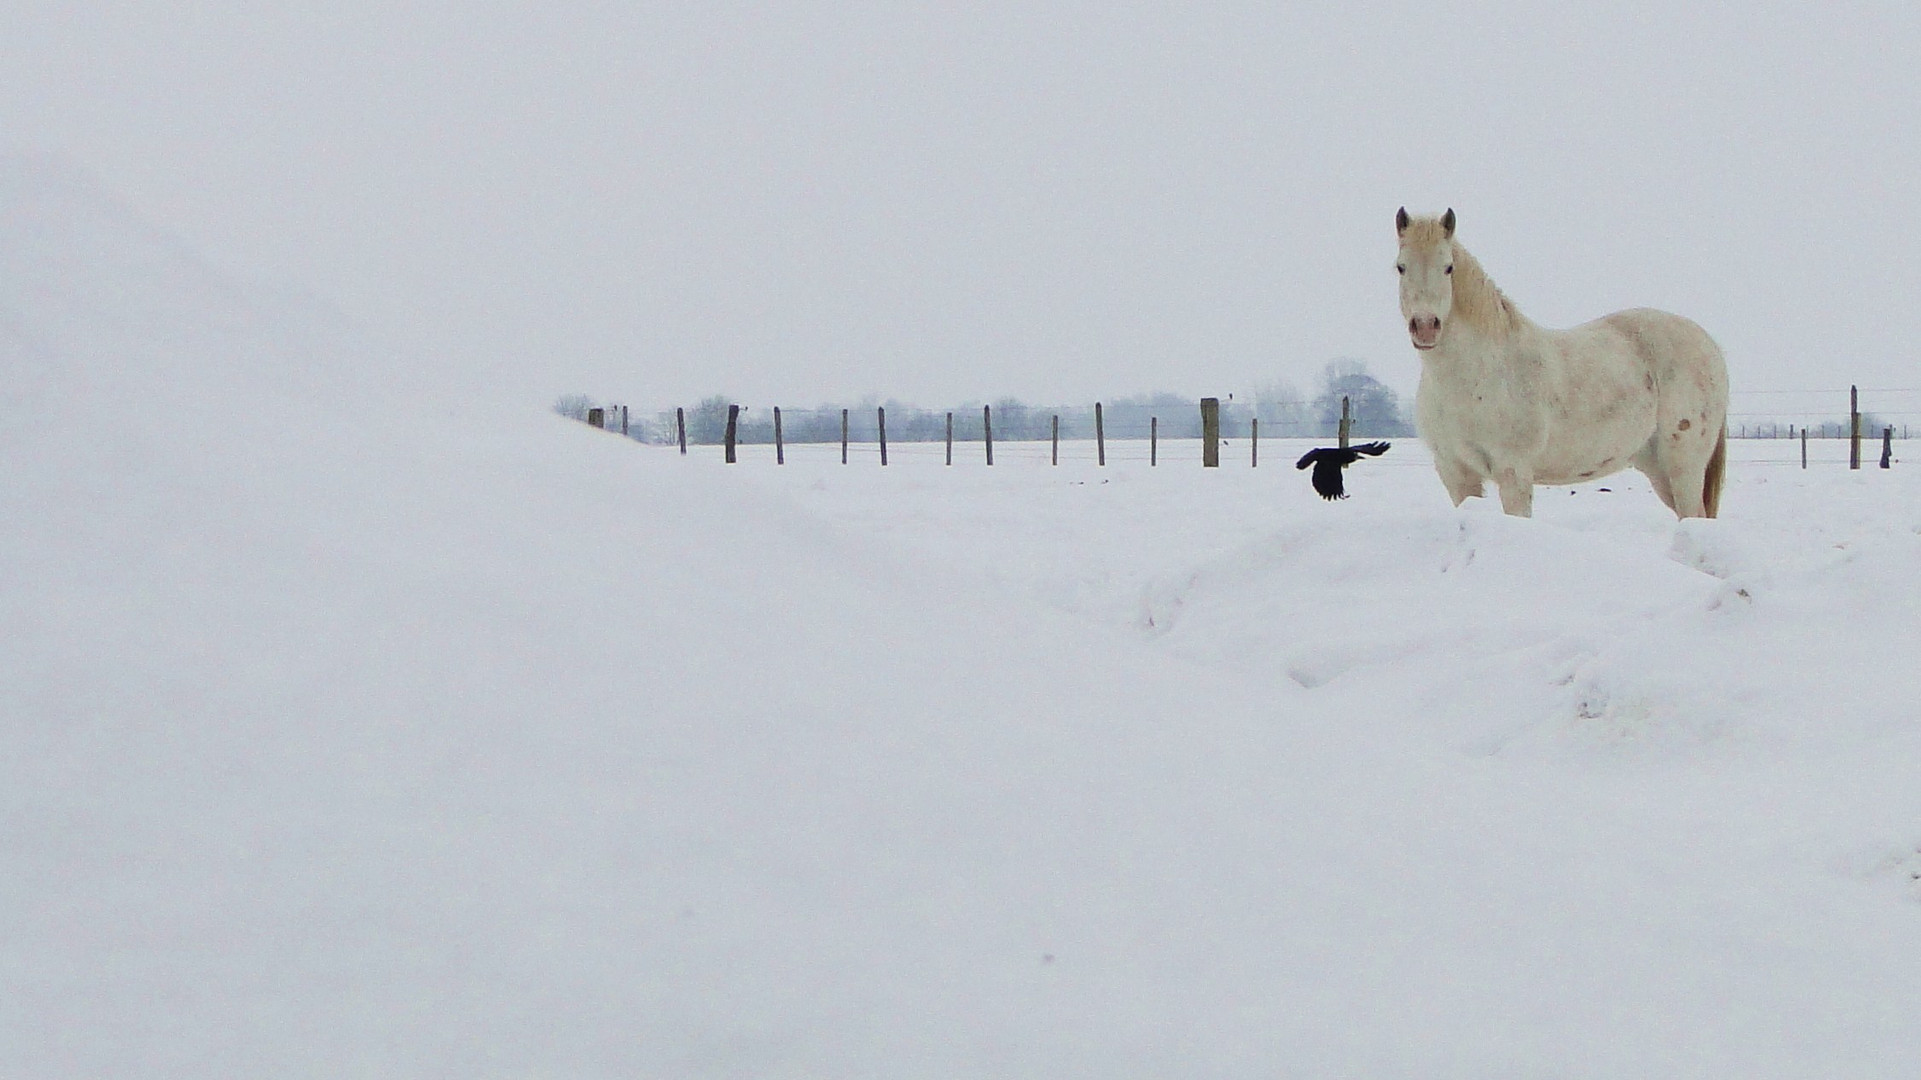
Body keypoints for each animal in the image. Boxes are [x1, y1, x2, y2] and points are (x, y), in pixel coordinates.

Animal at [1398, 209, 1728, 518]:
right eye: (1401, 267)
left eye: (1448, 267)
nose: (1425, 327)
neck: (1474, 374)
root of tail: (1709, 344)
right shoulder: (1455, 473)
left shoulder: (1513, 471)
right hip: (1657, 469)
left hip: (1683, 465)